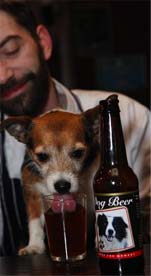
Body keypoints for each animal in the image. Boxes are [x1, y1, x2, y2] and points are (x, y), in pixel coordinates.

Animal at [1, 106, 100, 256]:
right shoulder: (32, 193)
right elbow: (35, 221)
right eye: (42, 156)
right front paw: (34, 246)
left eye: (78, 153)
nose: (62, 186)